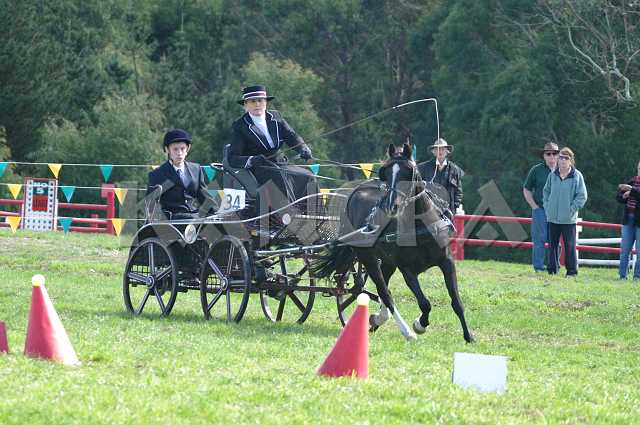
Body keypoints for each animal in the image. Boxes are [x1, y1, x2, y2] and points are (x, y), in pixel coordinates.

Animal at [311, 143, 473, 342]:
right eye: (386, 173)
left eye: (409, 172)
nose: (391, 206)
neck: (420, 226)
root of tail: (356, 191)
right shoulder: (407, 269)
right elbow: (424, 303)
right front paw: (420, 324)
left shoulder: (446, 261)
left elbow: (456, 300)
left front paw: (468, 335)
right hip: (368, 258)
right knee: (384, 293)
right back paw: (405, 331)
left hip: (387, 262)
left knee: (382, 292)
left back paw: (377, 319)